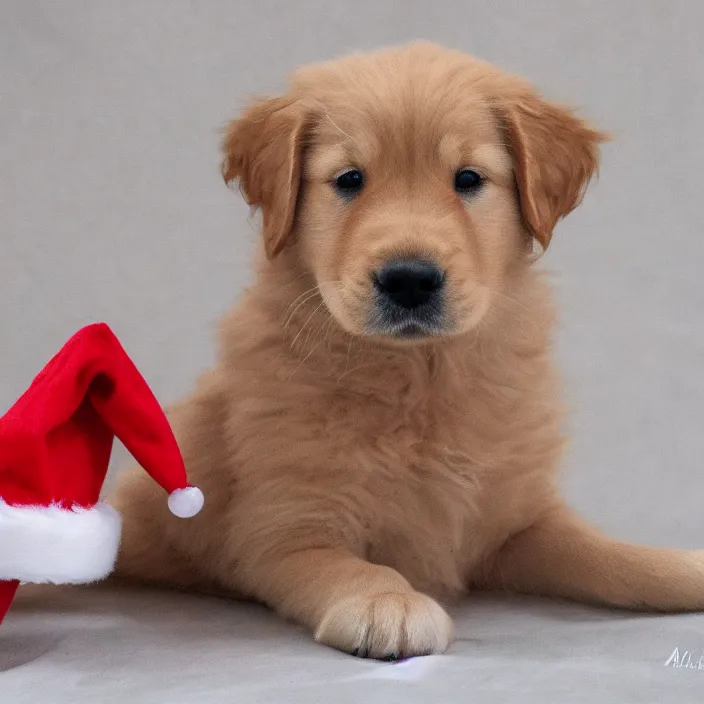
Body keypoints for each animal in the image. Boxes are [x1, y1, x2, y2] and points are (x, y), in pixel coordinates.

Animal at [111, 42, 704, 660]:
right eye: (349, 179)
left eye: (468, 178)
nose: (410, 279)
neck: (420, 373)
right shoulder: (287, 528)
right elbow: (348, 566)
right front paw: (387, 601)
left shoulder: (519, 520)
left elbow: (606, 555)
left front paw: (680, 566)